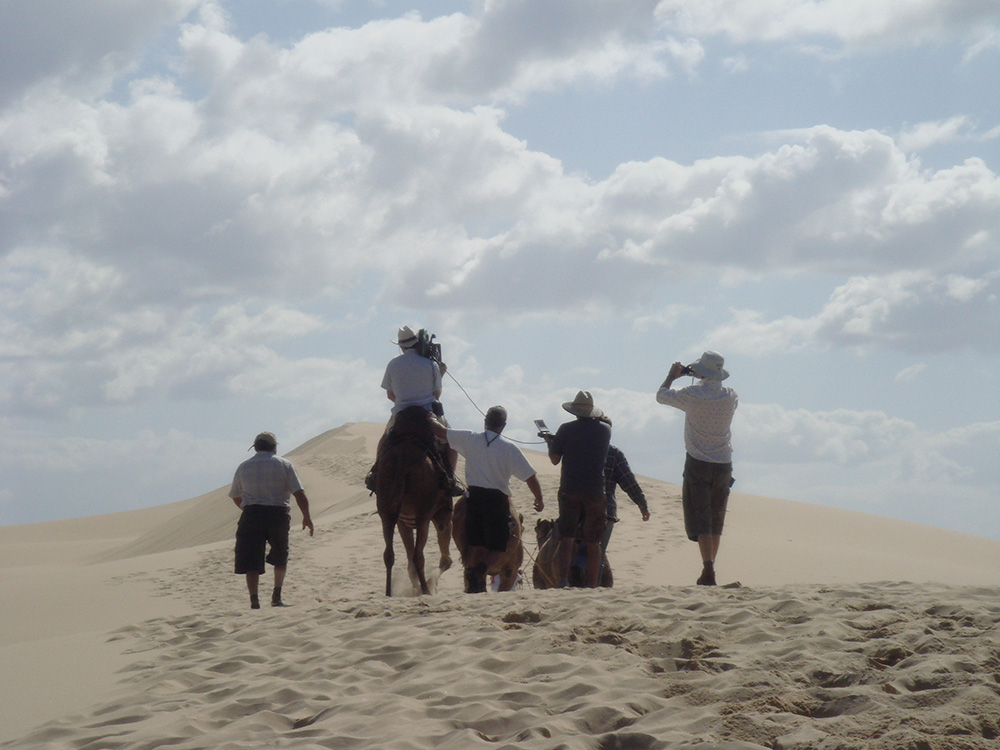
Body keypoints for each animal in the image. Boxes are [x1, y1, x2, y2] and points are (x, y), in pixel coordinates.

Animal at [376, 408, 454, 596]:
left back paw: (389, 592)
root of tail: (403, 456)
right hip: (424, 515)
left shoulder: (403, 521)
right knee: (419, 556)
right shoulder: (442, 514)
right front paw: (428, 584)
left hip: (387, 509)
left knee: (389, 554)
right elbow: (446, 560)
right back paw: (425, 590)